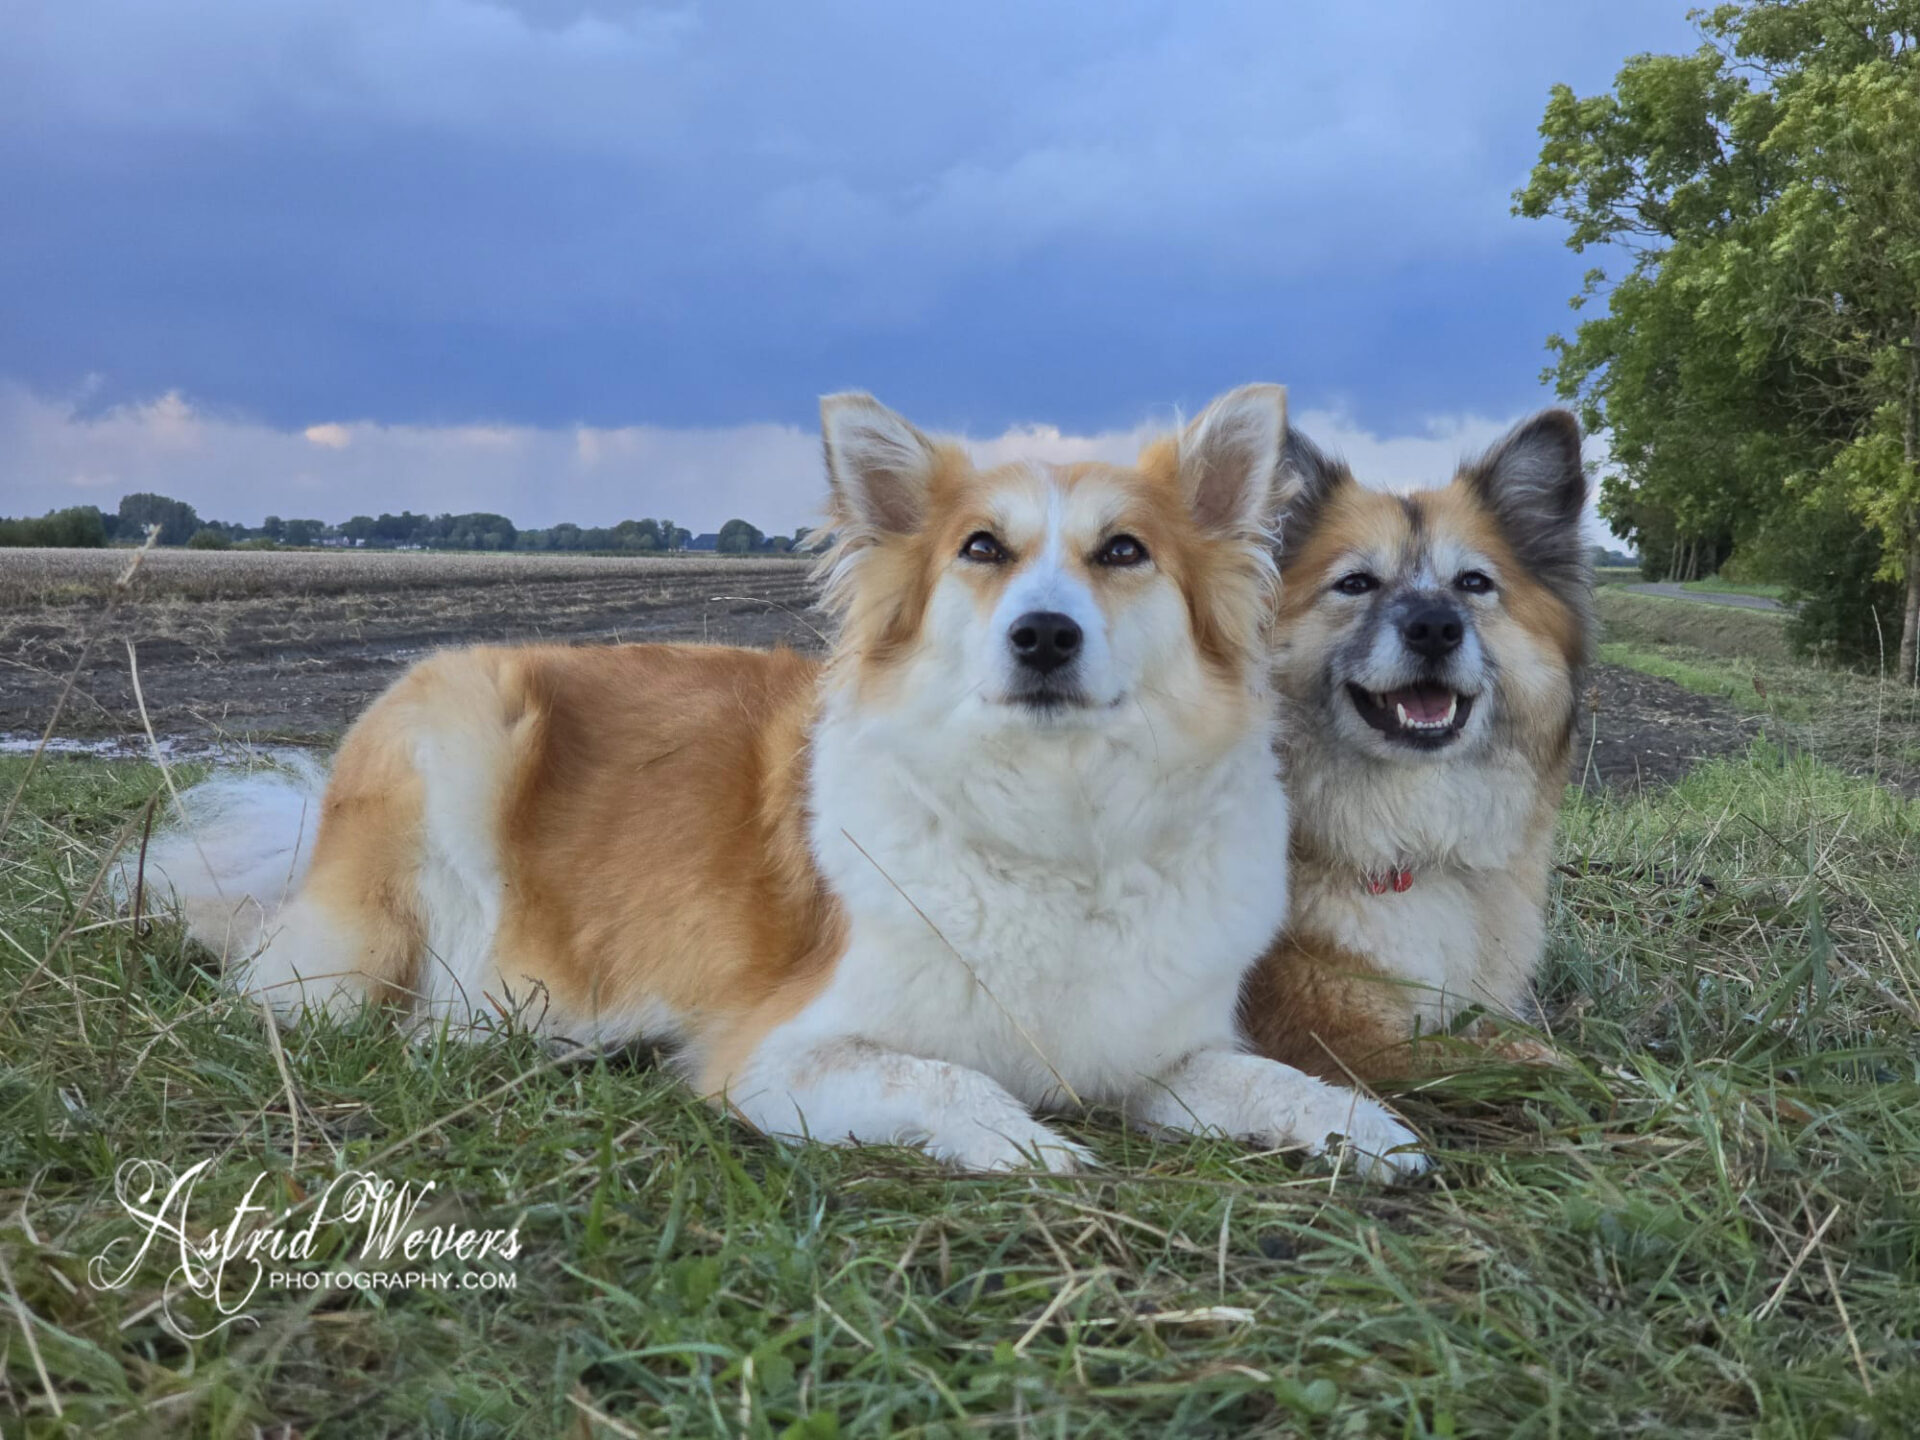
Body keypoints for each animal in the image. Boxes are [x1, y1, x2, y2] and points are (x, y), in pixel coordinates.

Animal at [145, 385, 1428, 1182]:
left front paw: (1367, 1129)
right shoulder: (778, 1057)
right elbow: (946, 1078)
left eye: (1125, 553)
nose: (1044, 637)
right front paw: (1030, 1146)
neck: (1058, 826)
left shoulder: (1158, 1054)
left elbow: (1274, 1081)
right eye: (982, 550)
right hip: (452, 724)